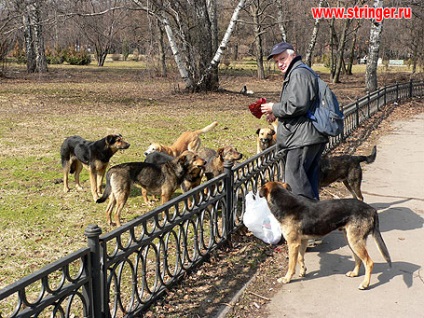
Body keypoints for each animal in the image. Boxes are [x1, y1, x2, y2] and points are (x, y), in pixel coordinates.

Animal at [260, 180, 392, 290]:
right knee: (358, 259)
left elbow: (291, 264)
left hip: (355, 241)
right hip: (350, 240)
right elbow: (300, 258)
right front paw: (303, 271)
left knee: (369, 262)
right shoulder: (302, 241)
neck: (285, 200)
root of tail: (371, 209)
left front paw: (287, 278)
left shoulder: (292, 243)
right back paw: (354, 273)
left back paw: (365, 284)